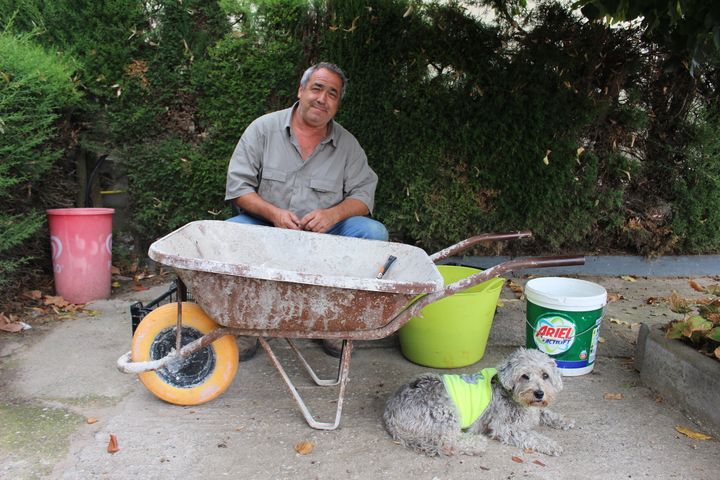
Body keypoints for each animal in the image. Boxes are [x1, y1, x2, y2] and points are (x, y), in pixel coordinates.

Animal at [382, 346, 572, 456]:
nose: (539, 394)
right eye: (525, 376)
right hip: (446, 412)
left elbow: (545, 413)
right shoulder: (504, 428)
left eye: (545, 375)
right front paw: (551, 445)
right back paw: (476, 444)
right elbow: (531, 436)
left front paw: (564, 420)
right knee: (448, 444)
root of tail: (390, 413)